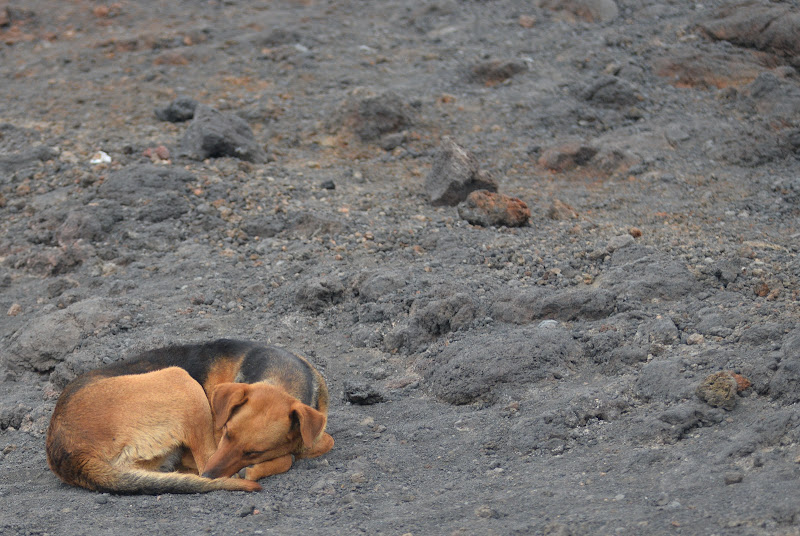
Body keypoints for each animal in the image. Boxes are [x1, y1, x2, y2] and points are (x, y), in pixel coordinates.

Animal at [47, 340, 334, 494]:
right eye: (226, 432)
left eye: (253, 451)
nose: (209, 476)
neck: (283, 376)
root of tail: (66, 452)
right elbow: (289, 456)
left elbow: (322, 441)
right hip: (182, 382)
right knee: (205, 459)